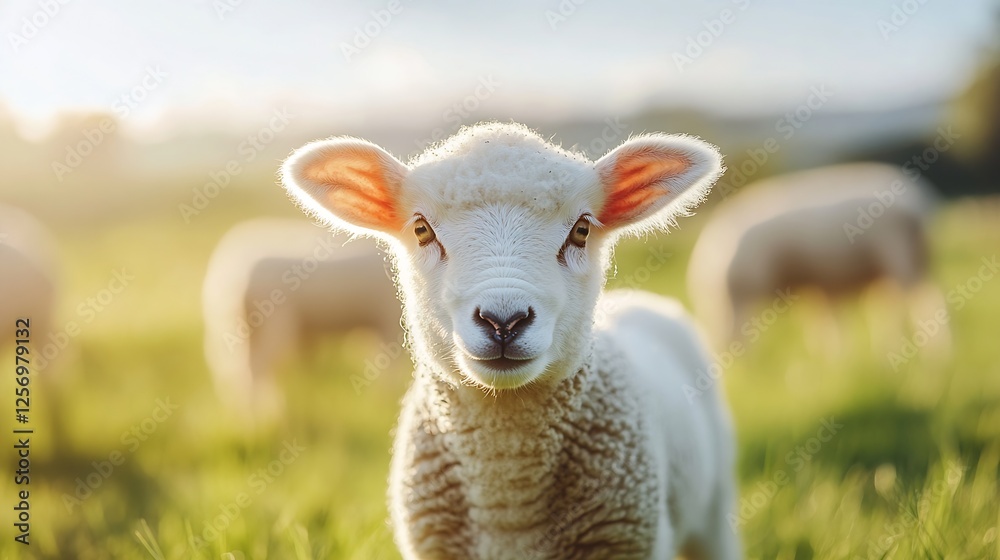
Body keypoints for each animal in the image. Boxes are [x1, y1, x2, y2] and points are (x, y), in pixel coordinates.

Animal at [201, 218, 401, 415]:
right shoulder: (389, 320)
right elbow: (389, 367)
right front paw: (386, 400)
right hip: (272, 325)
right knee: (255, 369)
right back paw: (262, 415)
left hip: (237, 330)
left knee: (237, 371)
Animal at [686, 162, 945, 353]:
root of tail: (919, 202)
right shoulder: (817, 288)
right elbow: (827, 329)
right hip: (903, 263)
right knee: (896, 310)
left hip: (898, 255)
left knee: (924, 306)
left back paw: (934, 357)